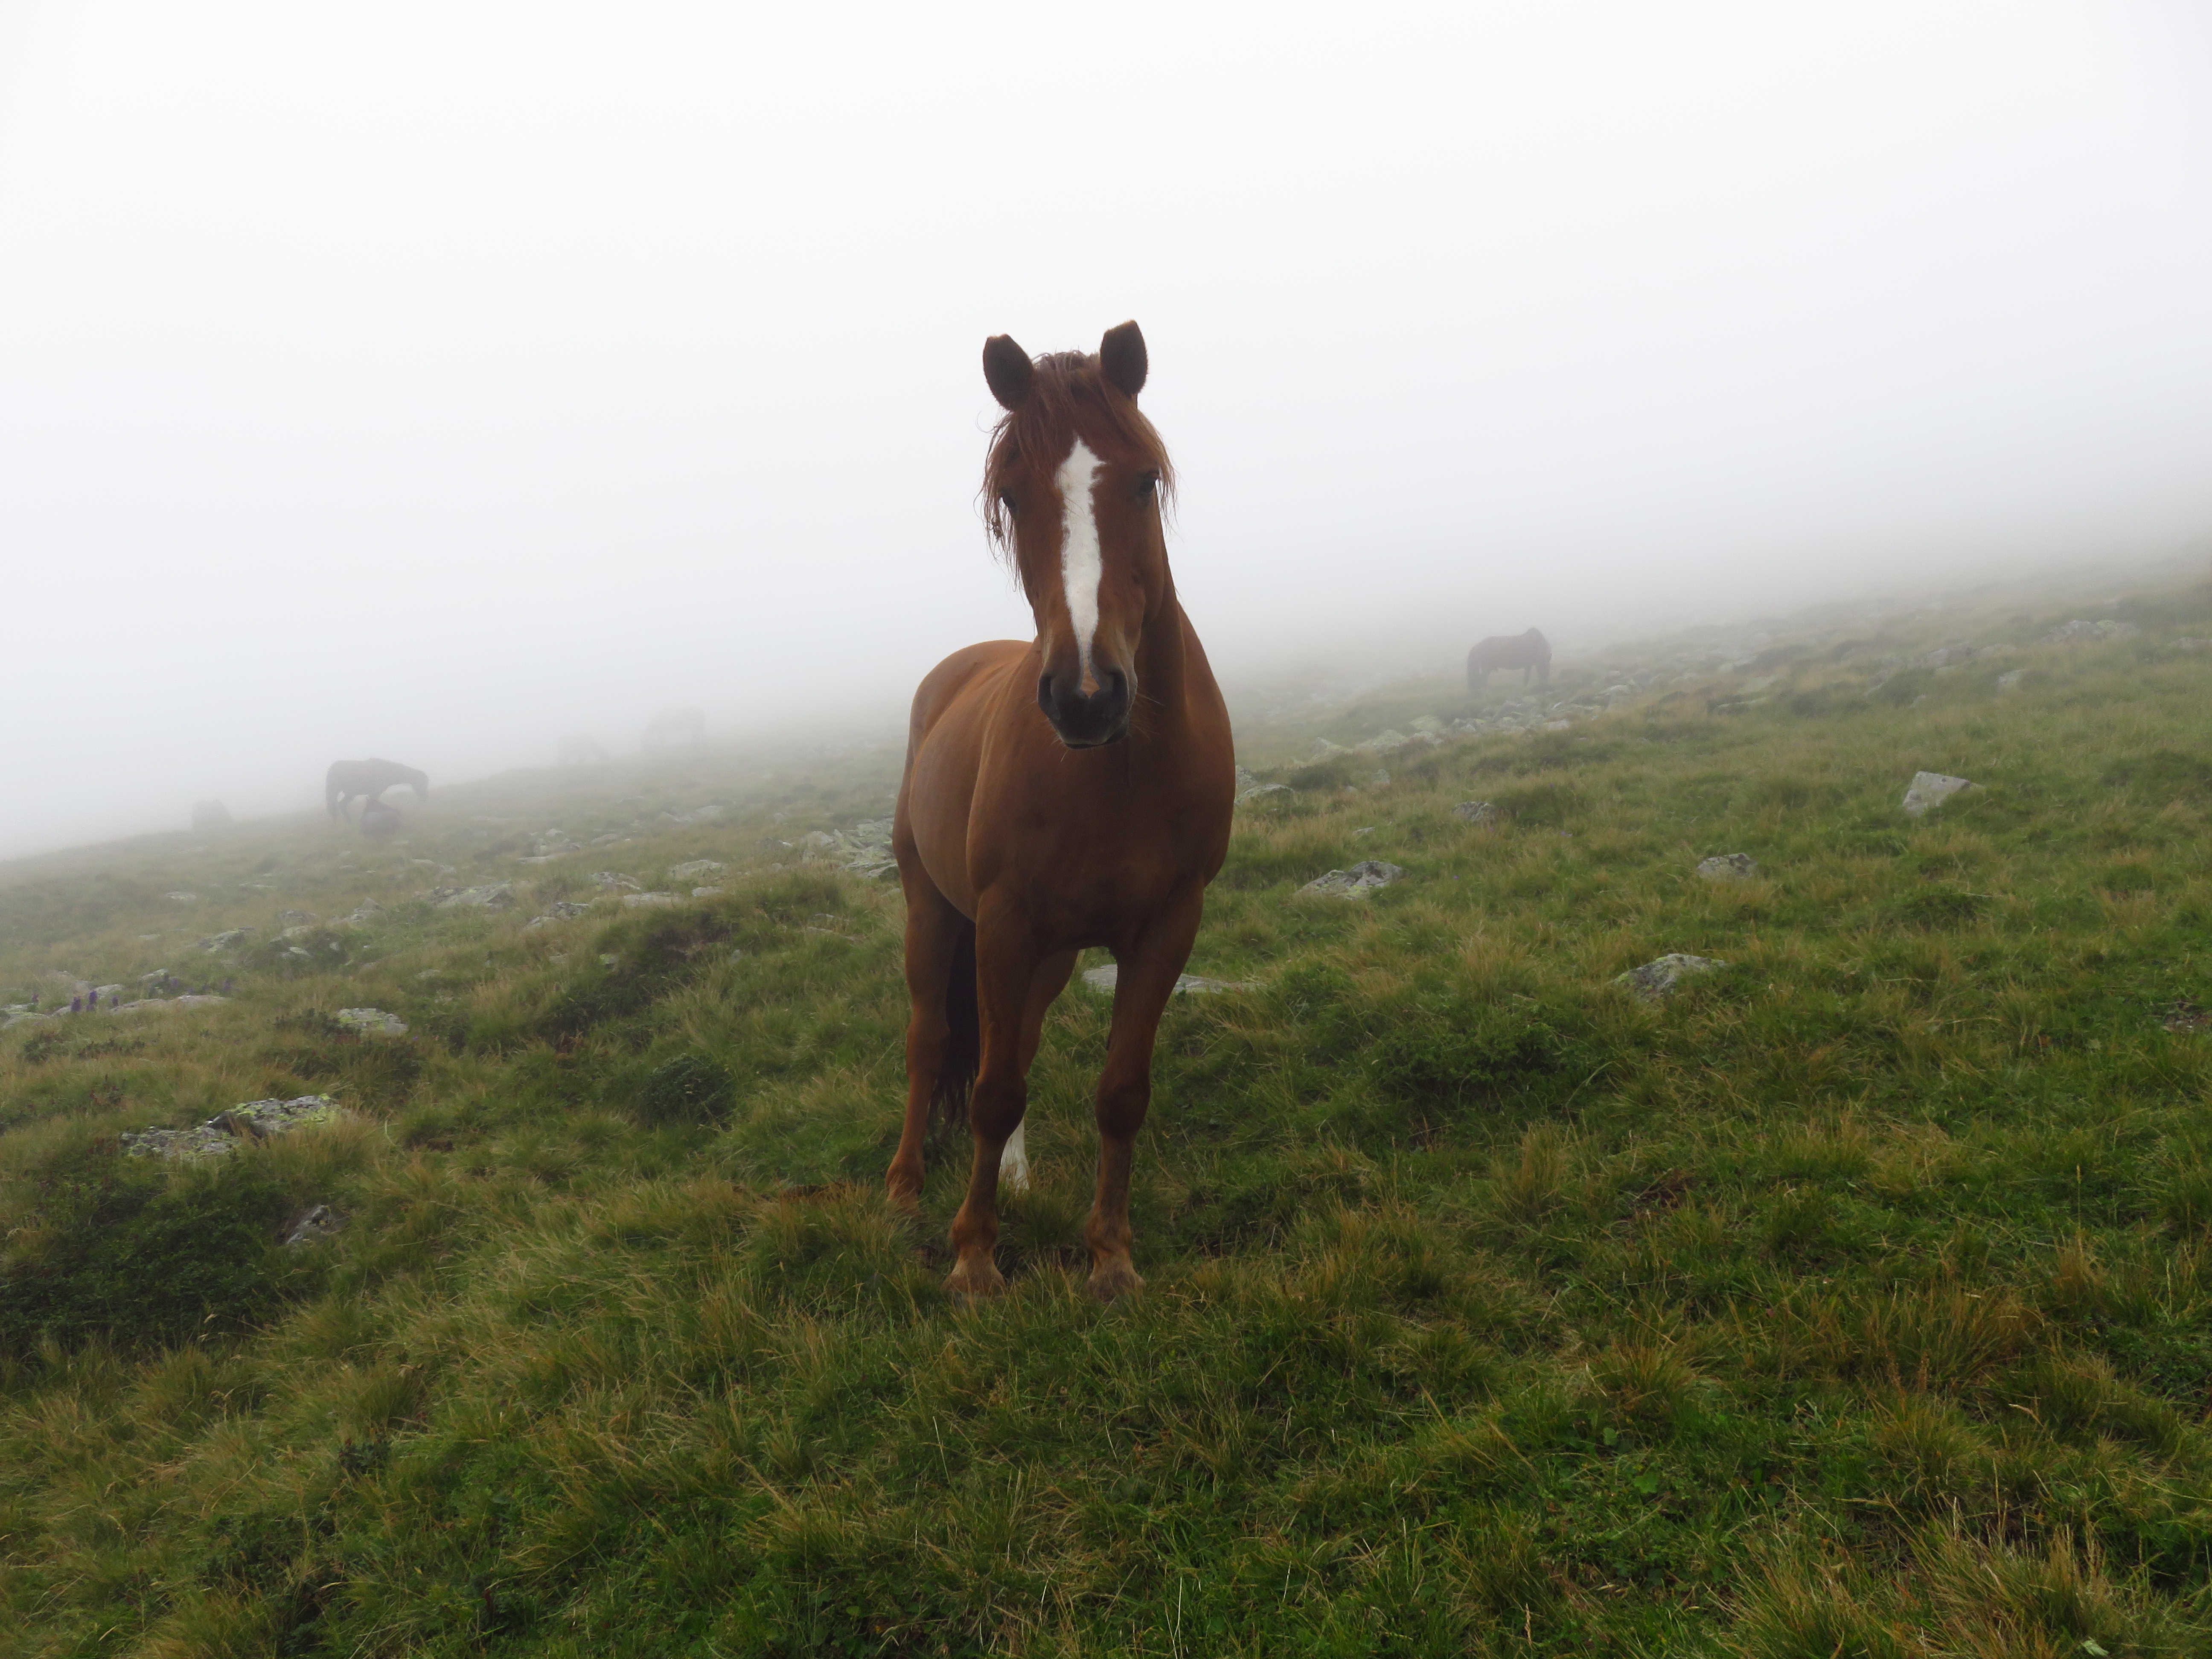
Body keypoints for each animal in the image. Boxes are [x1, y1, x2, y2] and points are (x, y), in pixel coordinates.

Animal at [326, 758, 428, 822]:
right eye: (421, 783)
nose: (424, 798)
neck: (386, 770)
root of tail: (332, 768)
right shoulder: (375, 793)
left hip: (351, 794)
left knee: (341, 805)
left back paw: (348, 822)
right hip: (339, 792)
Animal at [642, 707, 705, 749]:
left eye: (645, 739)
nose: (645, 748)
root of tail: (700, 710)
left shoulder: (662, 731)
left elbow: (661, 739)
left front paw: (660, 746)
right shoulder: (663, 731)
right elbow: (661, 739)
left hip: (697, 726)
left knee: (698, 734)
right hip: (697, 726)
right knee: (697, 734)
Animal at [887, 321, 1235, 1302]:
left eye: (1144, 479)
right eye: (1011, 493)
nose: (1086, 695)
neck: (1113, 775)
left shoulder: (1167, 924)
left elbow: (1119, 1092)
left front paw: (1109, 1257)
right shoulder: (1005, 921)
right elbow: (992, 1089)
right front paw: (973, 1258)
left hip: (1045, 952)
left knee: (1016, 1040)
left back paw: (1014, 1178)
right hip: (936, 912)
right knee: (933, 1042)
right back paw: (903, 1191)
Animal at [1467, 628, 1552, 689]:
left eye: (1548, 670)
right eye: (1543, 669)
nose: (1545, 685)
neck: (1537, 645)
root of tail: (1476, 647)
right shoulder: (1528, 665)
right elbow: (1526, 678)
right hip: (1486, 668)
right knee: (1481, 680)